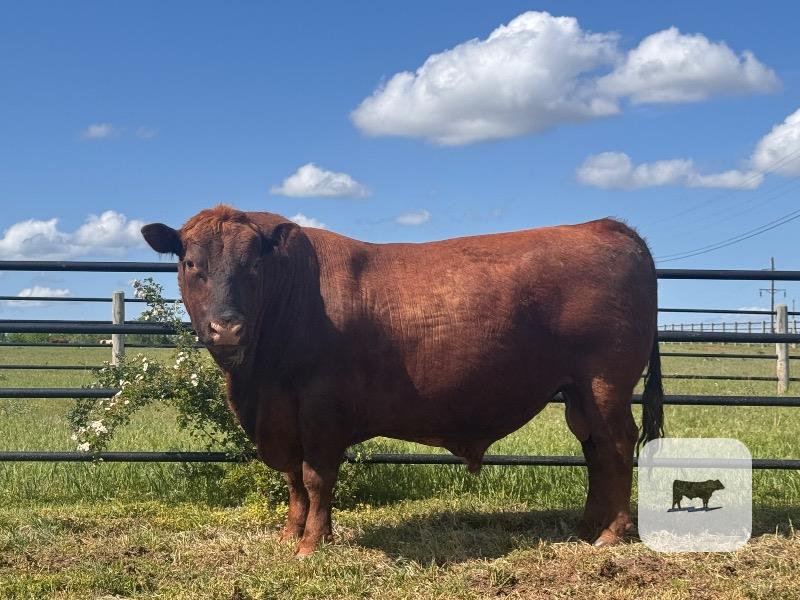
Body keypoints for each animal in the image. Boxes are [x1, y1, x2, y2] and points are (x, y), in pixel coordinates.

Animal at [141, 205, 664, 556]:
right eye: (191, 263)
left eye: (253, 264)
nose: (227, 327)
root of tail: (607, 226)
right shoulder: (281, 416)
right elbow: (292, 478)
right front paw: (290, 534)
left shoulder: (321, 404)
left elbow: (316, 475)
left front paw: (312, 543)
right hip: (578, 390)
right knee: (594, 448)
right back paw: (587, 526)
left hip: (605, 381)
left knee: (616, 445)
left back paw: (611, 533)